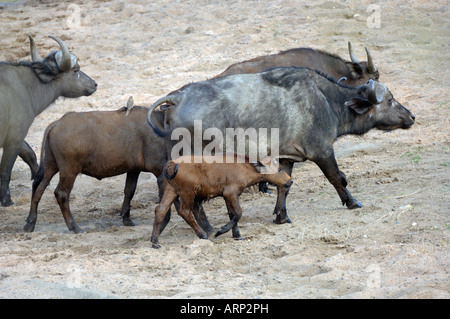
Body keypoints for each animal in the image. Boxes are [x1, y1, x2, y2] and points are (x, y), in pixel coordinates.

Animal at [0, 35, 96, 208]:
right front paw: (6, 200)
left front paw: (38, 175)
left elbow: (29, 153)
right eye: (76, 70)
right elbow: (6, 169)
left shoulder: (16, 136)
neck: (25, 88)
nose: (95, 84)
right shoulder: (14, 137)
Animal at [148, 67, 414, 226]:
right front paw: (352, 202)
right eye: (390, 100)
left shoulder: (287, 157)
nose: (411, 116)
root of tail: (179, 97)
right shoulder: (322, 151)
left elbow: (284, 186)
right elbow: (338, 178)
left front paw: (281, 215)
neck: (326, 100)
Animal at [149, 156, 294, 249]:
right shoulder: (231, 194)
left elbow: (233, 215)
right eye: (279, 169)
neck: (243, 167)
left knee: (160, 210)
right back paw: (202, 234)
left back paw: (155, 242)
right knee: (185, 212)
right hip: (187, 193)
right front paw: (220, 231)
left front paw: (237, 236)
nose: (290, 181)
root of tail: (172, 163)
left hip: (171, 191)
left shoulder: (228, 197)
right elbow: (238, 213)